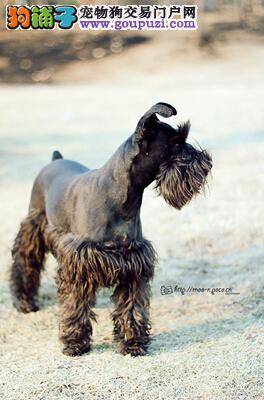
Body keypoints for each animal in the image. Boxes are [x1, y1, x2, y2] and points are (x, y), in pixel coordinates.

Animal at [10, 102, 211, 356]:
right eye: (176, 143)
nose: (207, 163)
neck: (121, 198)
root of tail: (55, 159)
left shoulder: (134, 264)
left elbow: (131, 308)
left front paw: (132, 343)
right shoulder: (79, 262)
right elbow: (75, 303)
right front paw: (75, 343)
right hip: (33, 227)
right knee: (24, 264)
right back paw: (24, 302)